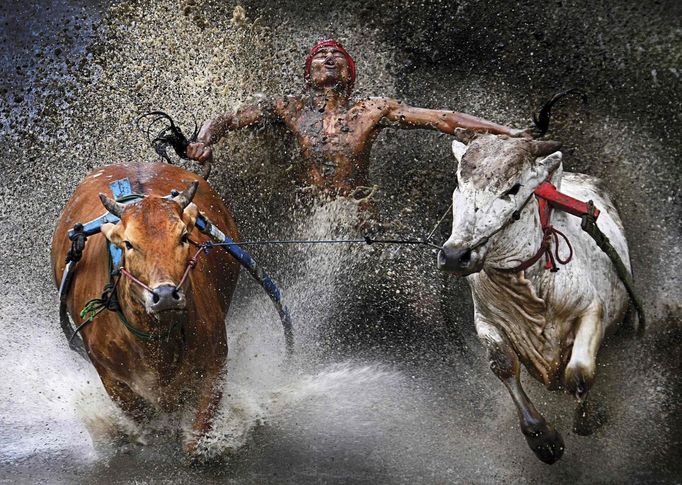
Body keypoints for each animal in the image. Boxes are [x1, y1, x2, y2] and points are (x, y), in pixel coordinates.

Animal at [49, 164, 239, 458]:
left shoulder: (215, 362)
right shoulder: (109, 375)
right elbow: (142, 416)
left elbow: (196, 438)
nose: (165, 295)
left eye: (184, 236)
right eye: (128, 244)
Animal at [438, 130, 628, 466]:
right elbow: (503, 364)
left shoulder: (592, 311)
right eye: (460, 183)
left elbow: (579, 374)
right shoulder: (485, 320)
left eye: (513, 188)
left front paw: (588, 420)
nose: (454, 255)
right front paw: (543, 438)